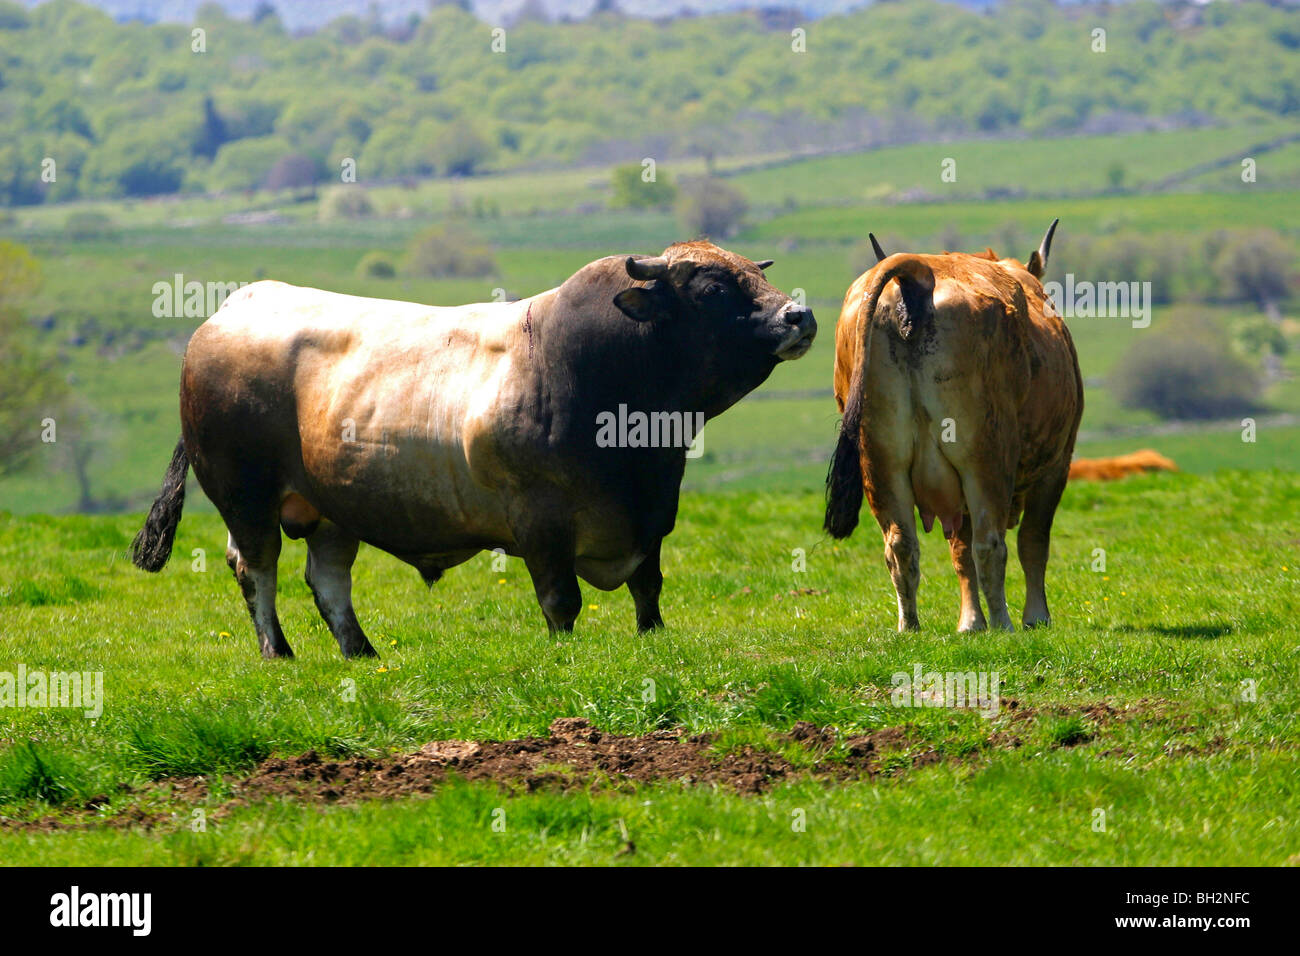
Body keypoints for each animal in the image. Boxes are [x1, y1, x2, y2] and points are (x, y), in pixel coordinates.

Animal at [131, 241, 815, 659]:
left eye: (759, 275)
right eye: (713, 289)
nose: (799, 315)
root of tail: (231, 308)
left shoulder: (651, 515)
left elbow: (649, 589)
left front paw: (654, 641)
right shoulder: (540, 519)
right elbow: (561, 600)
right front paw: (566, 658)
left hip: (332, 508)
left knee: (326, 579)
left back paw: (361, 653)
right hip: (244, 495)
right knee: (256, 567)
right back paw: (279, 653)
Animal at [824, 222, 1083, 632]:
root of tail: (916, 274)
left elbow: (959, 550)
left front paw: (970, 622)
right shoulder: (1057, 464)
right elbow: (1032, 541)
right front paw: (1035, 617)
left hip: (880, 462)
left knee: (901, 546)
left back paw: (910, 626)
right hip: (984, 459)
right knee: (990, 544)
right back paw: (1004, 624)